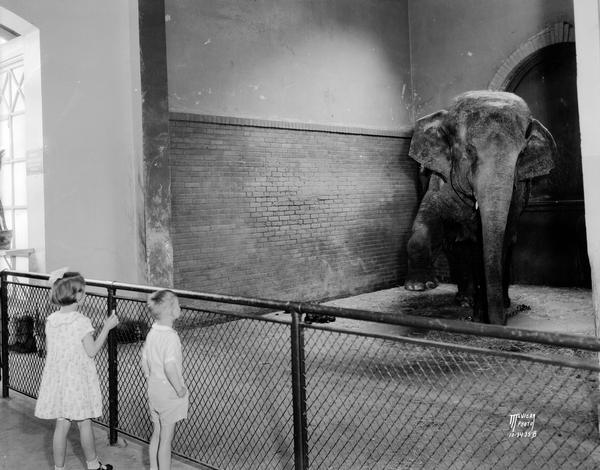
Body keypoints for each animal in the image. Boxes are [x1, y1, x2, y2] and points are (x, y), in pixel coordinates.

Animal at [406, 92, 556, 326]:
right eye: (468, 150)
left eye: (521, 154)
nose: (499, 323)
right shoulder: (439, 182)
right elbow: (426, 218)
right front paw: (419, 286)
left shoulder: (516, 196)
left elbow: (492, 244)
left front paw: (480, 316)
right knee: (458, 246)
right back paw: (464, 300)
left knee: (505, 244)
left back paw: (500, 303)